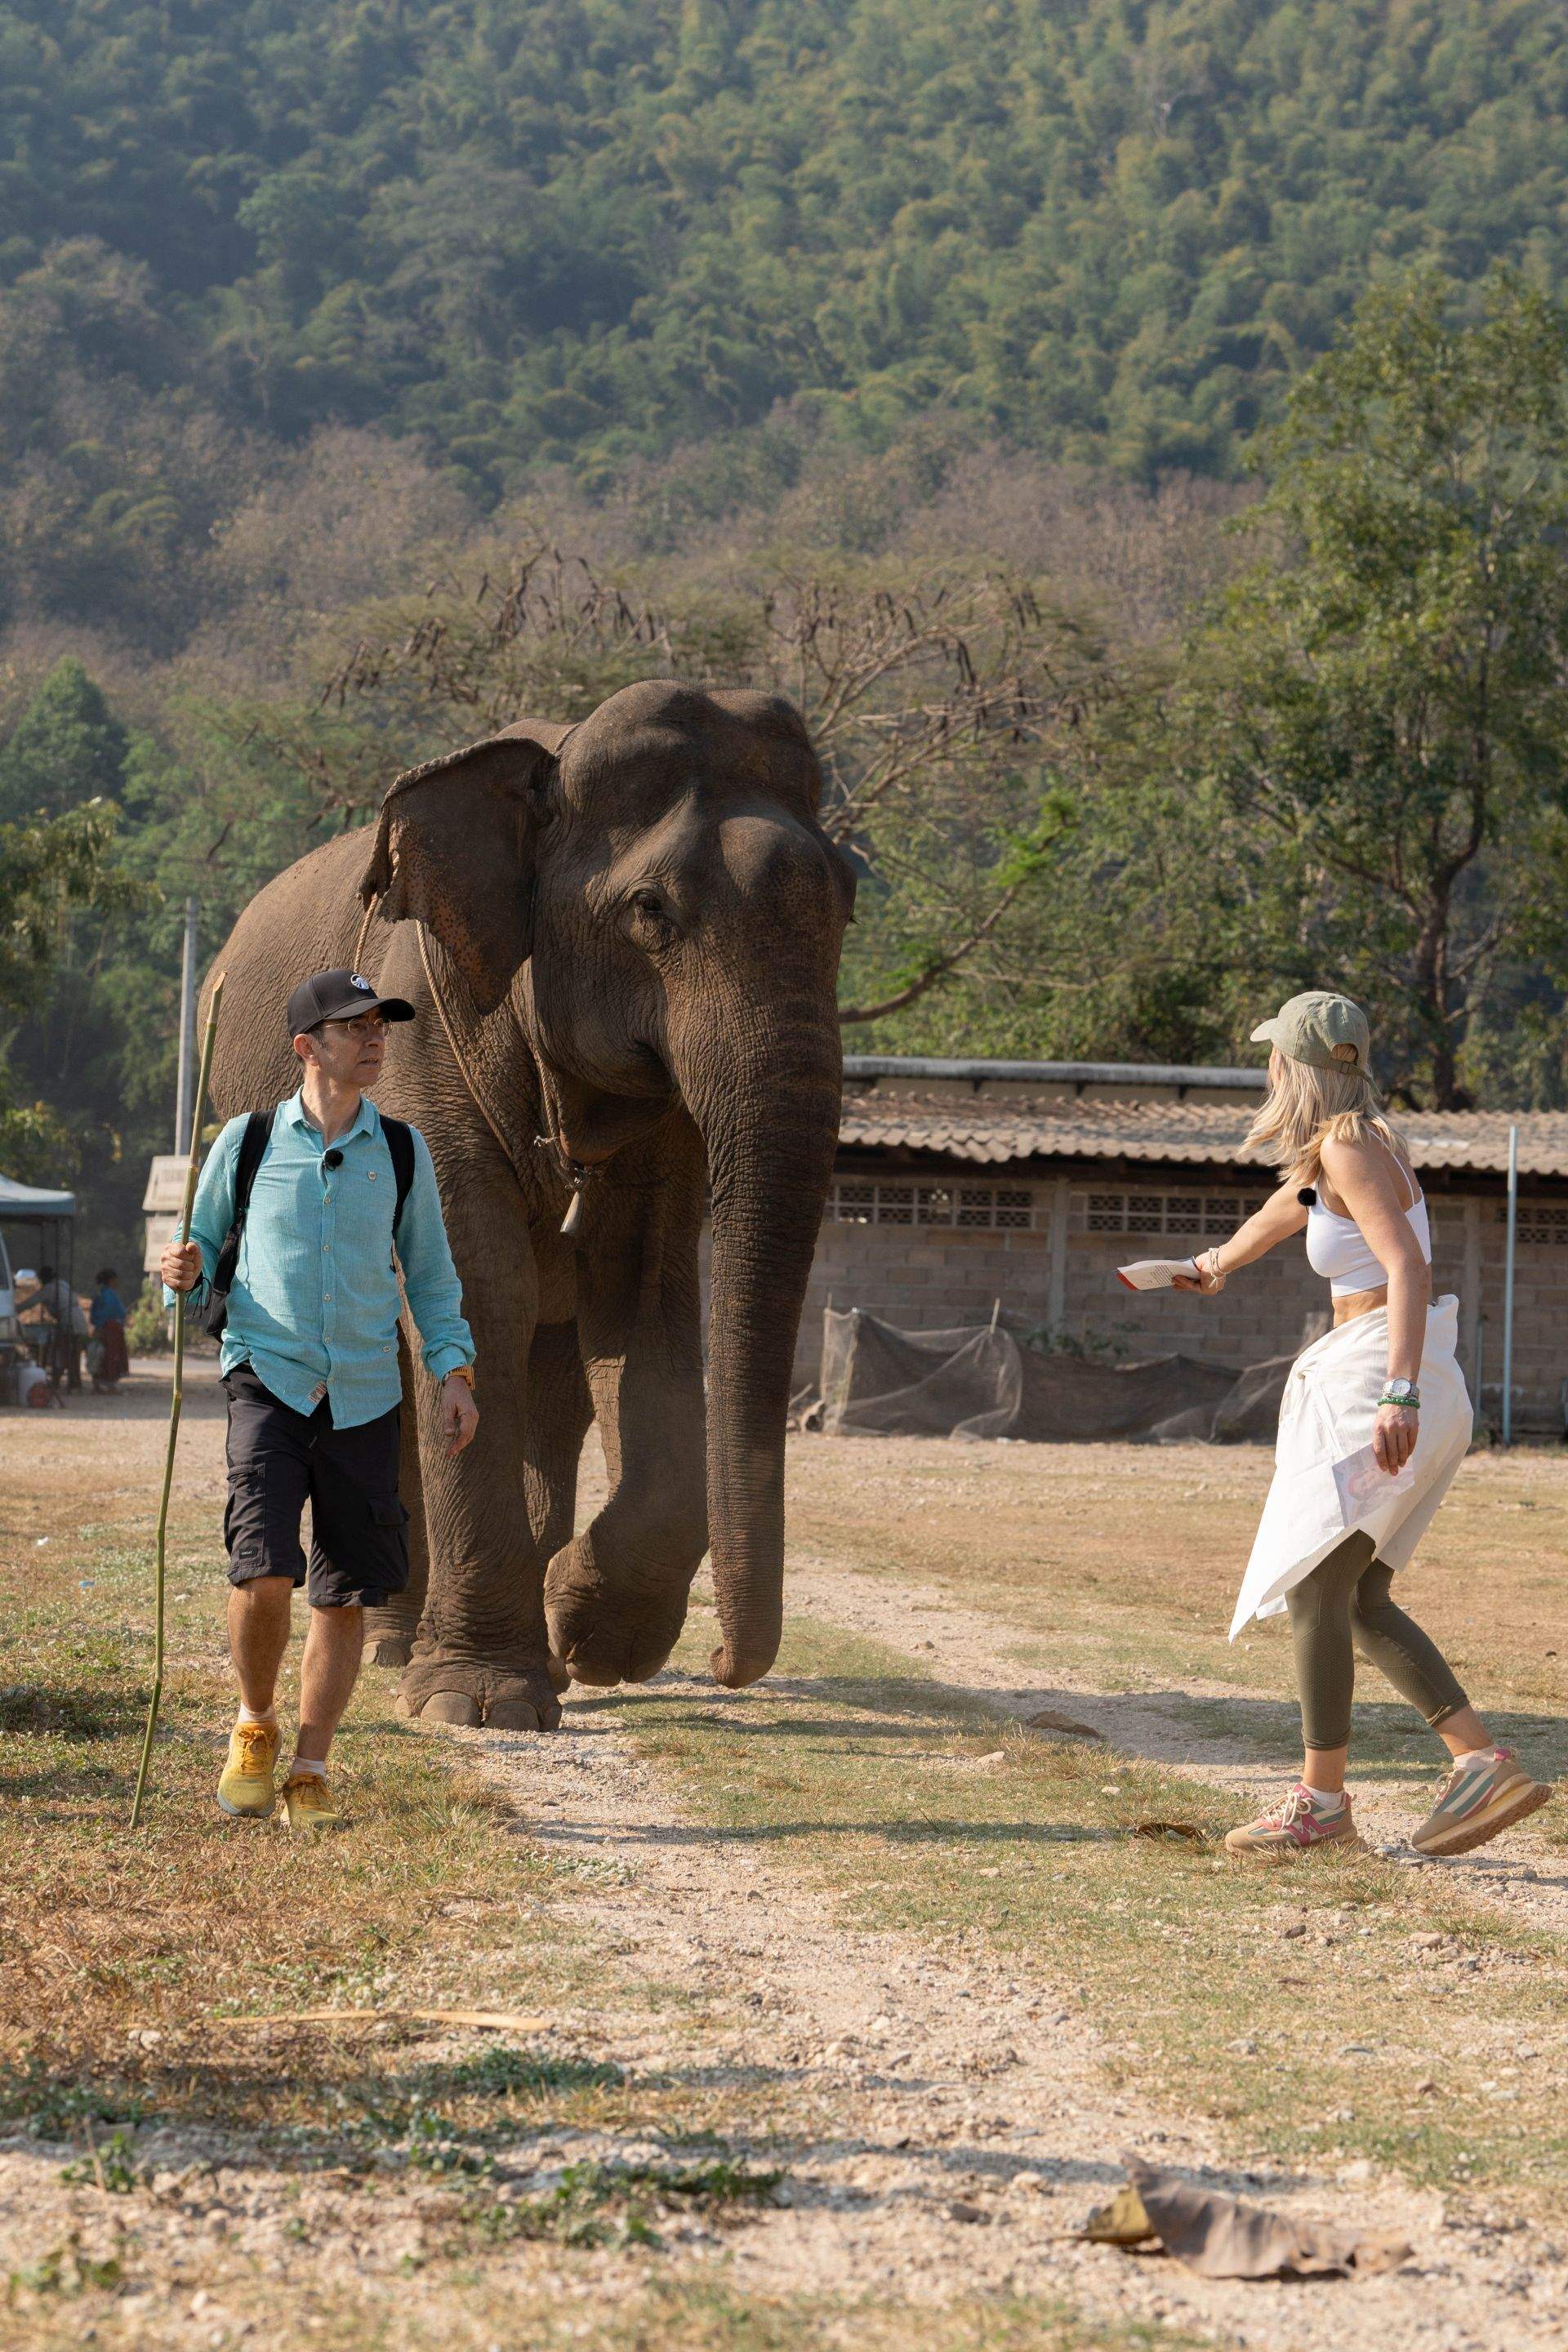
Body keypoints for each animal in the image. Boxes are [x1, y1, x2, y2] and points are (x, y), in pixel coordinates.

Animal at [205, 677, 860, 1731]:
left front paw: (591, 1637)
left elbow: (639, 1299)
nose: (727, 1663)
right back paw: (394, 1644)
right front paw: (483, 1701)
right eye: (649, 910)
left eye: (848, 904)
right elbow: (481, 1287)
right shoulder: (421, 1039)